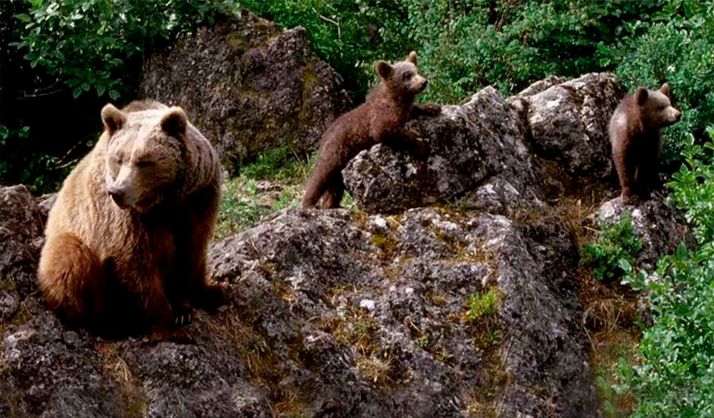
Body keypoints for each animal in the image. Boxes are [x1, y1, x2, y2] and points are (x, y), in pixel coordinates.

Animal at [38, 100, 224, 341]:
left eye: (144, 161)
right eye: (118, 159)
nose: (117, 192)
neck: (164, 201)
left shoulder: (197, 199)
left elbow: (190, 250)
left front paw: (183, 308)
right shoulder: (127, 220)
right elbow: (136, 262)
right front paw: (170, 326)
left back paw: (213, 292)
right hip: (76, 243)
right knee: (69, 258)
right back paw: (106, 324)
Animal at [301, 51, 441, 209]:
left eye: (417, 70)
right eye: (407, 75)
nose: (423, 82)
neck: (396, 100)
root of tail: (322, 140)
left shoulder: (403, 111)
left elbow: (413, 110)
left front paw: (432, 107)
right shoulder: (381, 117)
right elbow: (387, 130)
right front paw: (421, 146)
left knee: (335, 187)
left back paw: (331, 205)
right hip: (334, 153)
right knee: (319, 178)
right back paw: (308, 204)